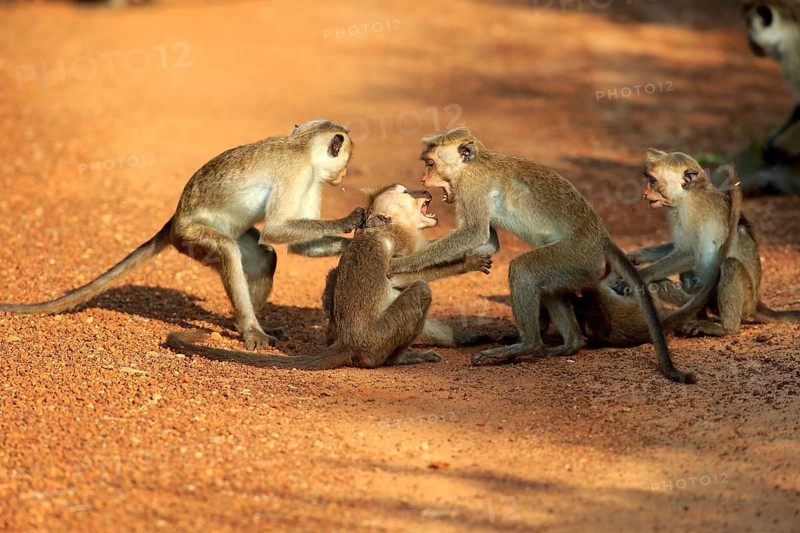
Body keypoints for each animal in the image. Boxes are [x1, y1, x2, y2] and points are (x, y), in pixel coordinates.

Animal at [0, 120, 365, 350]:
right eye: (345, 159)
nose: (344, 175)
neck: (301, 146)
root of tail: (175, 218)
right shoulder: (298, 173)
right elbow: (276, 230)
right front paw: (351, 219)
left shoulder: (311, 178)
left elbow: (295, 247)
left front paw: (351, 244)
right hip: (191, 238)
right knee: (228, 250)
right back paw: (250, 329)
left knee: (263, 256)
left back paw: (243, 325)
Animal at [165, 213, 493, 370]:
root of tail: (349, 342)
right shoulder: (400, 240)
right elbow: (401, 271)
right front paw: (469, 261)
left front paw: (465, 338)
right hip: (377, 341)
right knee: (421, 290)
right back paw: (397, 360)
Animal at [321, 183, 494, 348]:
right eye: (406, 192)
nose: (424, 191)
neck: (398, 225)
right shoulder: (401, 242)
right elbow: (396, 277)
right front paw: (468, 263)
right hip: (379, 335)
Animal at [388, 127, 696, 383]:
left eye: (430, 164)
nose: (423, 177)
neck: (474, 163)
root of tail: (602, 239)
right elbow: (487, 243)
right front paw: (468, 262)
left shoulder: (471, 186)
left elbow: (473, 233)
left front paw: (401, 263)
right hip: (575, 270)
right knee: (549, 289)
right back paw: (569, 344)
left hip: (576, 257)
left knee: (523, 269)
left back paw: (529, 345)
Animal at [627, 149, 800, 336]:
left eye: (652, 181)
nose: (645, 194)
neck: (690, 192)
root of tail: (756, 303)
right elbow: (680, 250)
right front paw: (637, 256)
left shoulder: (689, 210)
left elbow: (689, 254)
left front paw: (642, 274)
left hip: (746, 300)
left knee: (730, 265)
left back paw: (725, 328)